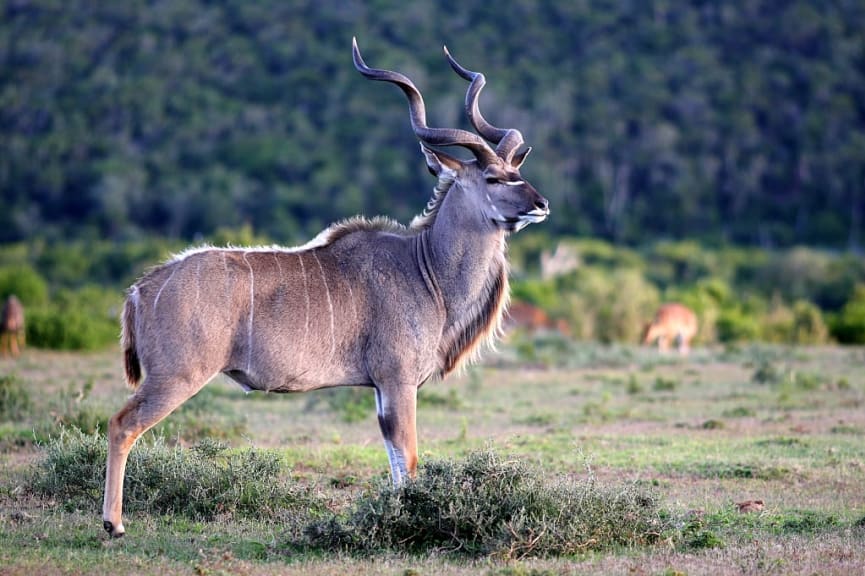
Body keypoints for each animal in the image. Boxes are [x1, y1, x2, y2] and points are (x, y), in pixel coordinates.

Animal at [101, 38, 548, 536]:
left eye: (516, 170)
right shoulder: (398, 380)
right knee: (121, 424)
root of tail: (141, 289)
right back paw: (113, 524)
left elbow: (396, 462)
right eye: (493, 178)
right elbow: (408, 459)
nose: (541, 204)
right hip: (175, 376)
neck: (425, 268)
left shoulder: (381, 387)